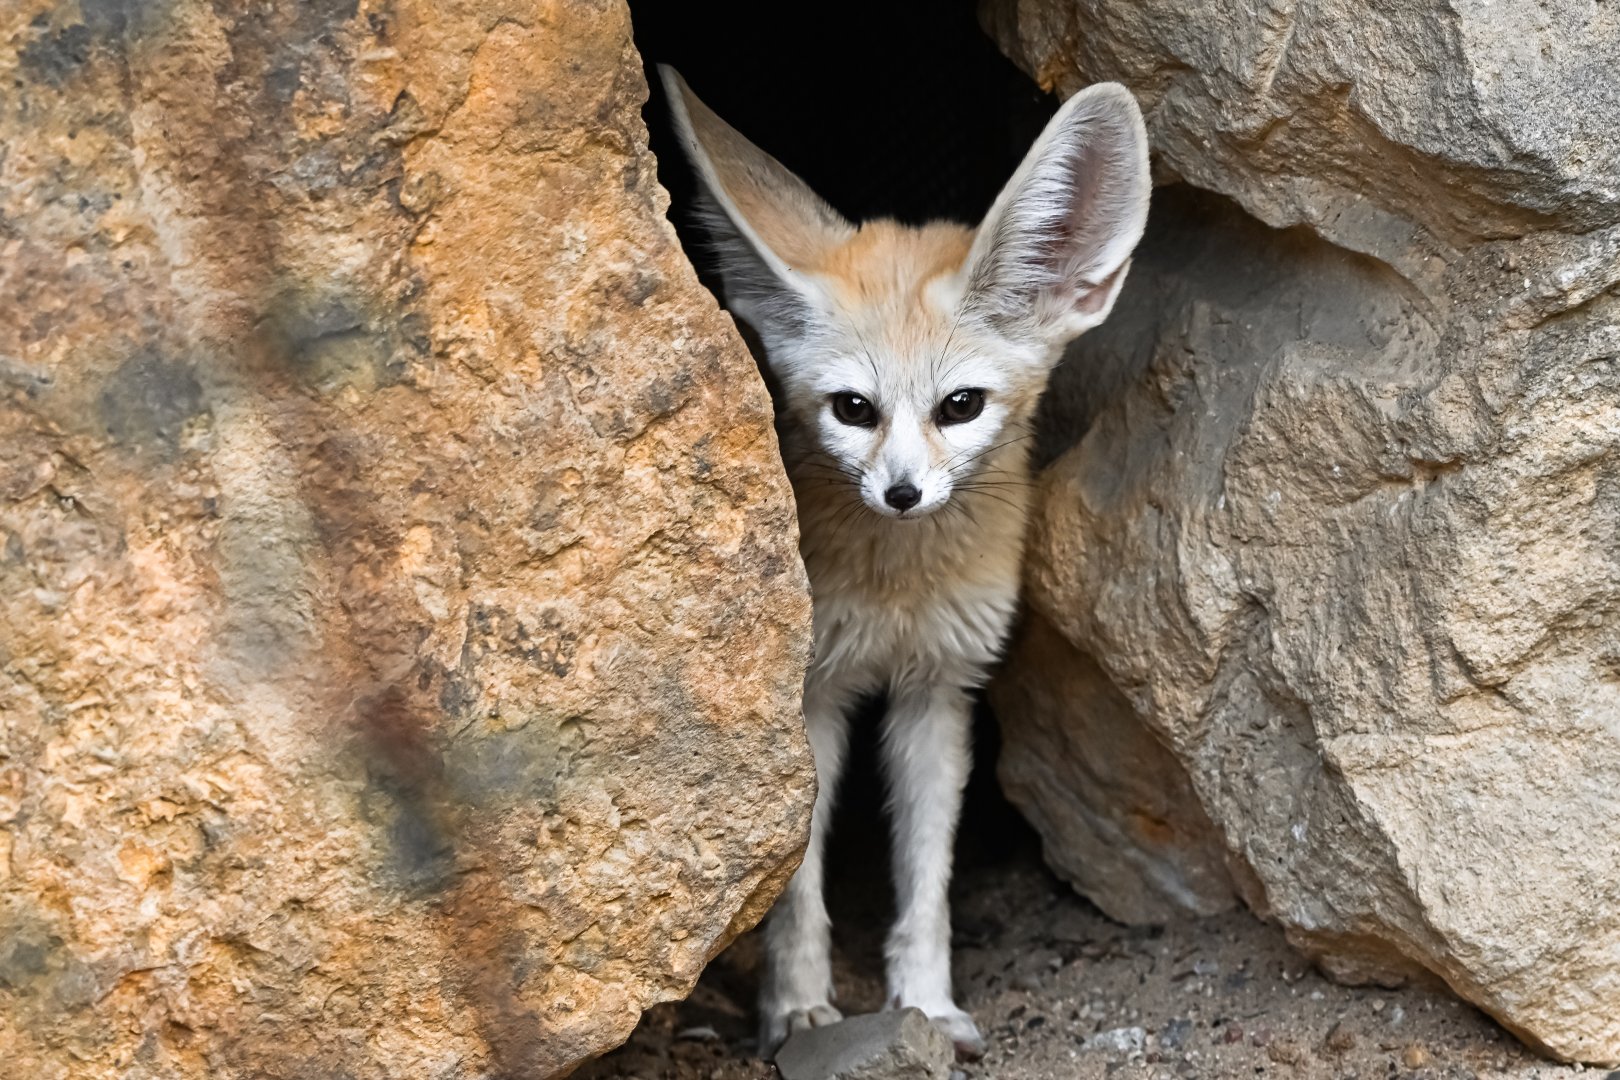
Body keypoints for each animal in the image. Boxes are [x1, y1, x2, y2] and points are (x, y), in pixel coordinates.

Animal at [659, 66, 1151, 1060]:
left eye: (960, 405)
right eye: (854, 408)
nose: (900, 493)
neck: (898, 585)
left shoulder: (939, 690)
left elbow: (927, 880)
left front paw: (925, 1003)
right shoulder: (806, 701)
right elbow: (793, 883)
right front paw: (798, 1009)